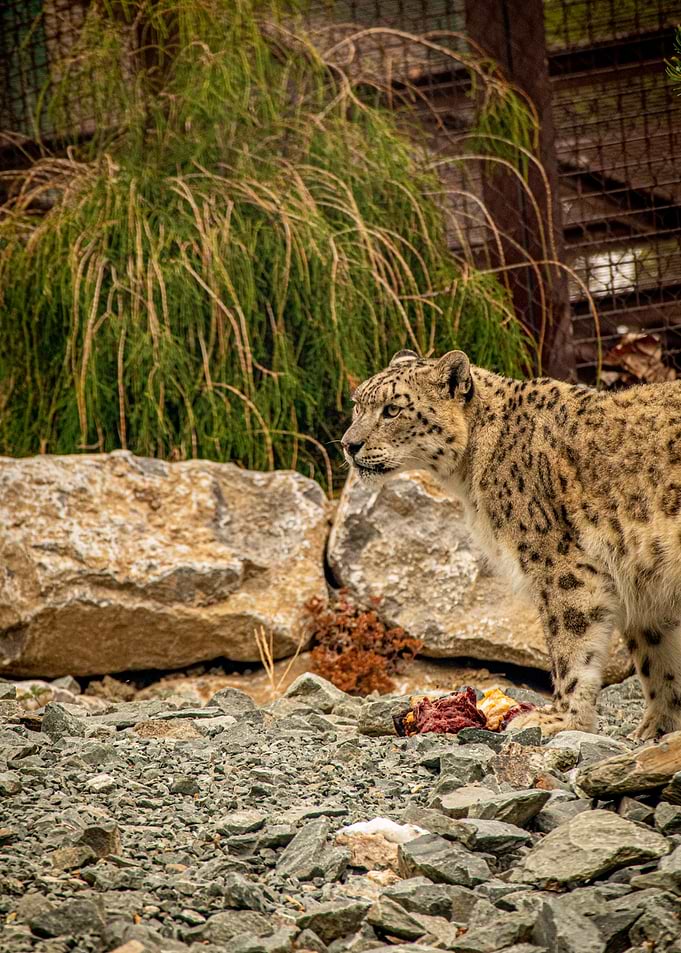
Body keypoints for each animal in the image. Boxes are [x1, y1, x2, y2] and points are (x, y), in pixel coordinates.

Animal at [341, 347, 681, 740]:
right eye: (357, 405)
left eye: (392, 409)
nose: (349, 444)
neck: (468, 479)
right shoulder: (644, 587)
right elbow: (657, 657)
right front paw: (659, 724)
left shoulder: (559, 566)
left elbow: (570, 646)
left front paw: (561, 719)